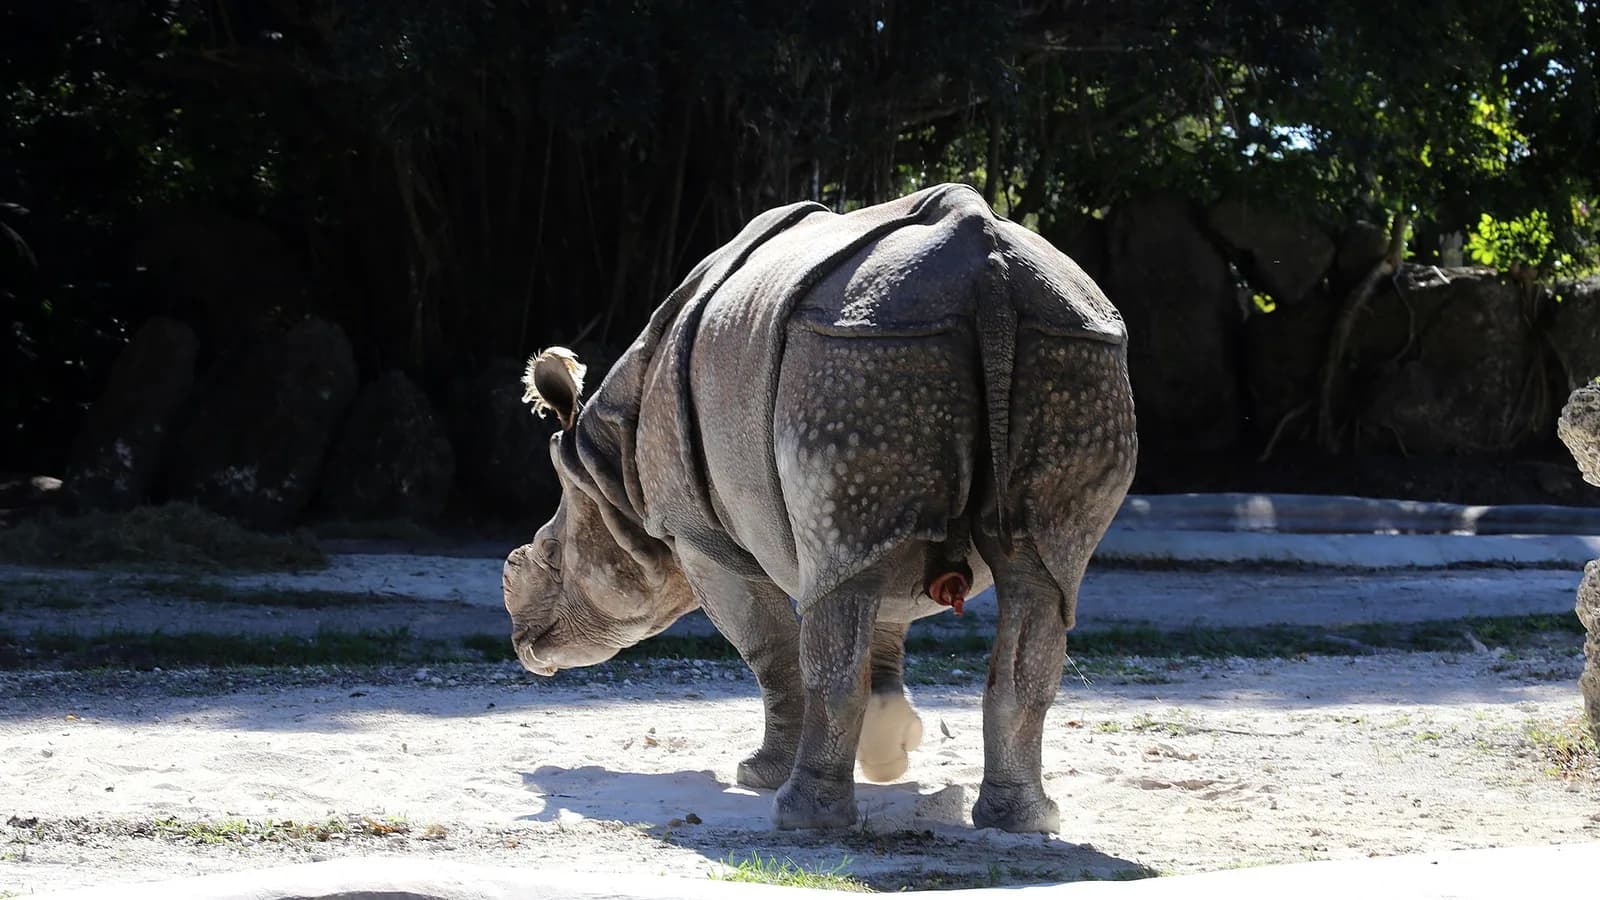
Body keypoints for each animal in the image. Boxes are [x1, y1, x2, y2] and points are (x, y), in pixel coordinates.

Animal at [503, 183, 1136, 833]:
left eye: (547, 553)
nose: (523, 643)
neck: (612, 478)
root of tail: (990, 275)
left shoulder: (697, 533)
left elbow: (771, 648)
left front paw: (758, 775)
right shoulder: (887, 538)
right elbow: (881, 631)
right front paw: (888, 752)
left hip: (855, 356)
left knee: (837, 603)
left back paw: (802, 819)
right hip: (1061, 347)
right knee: (1038, 580)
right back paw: (1024, 821)